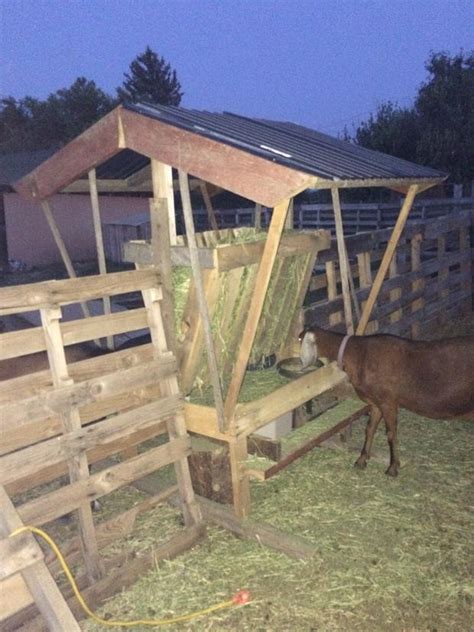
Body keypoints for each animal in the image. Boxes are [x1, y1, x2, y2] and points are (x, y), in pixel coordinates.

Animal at [300, 326, 474, 474]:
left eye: (300, 338)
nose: (300, 362)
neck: (358, 354)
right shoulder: (376, 403)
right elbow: (369, 429)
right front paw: (361, 460)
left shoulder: (388, 401)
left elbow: (391, 433)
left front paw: (393, 467)